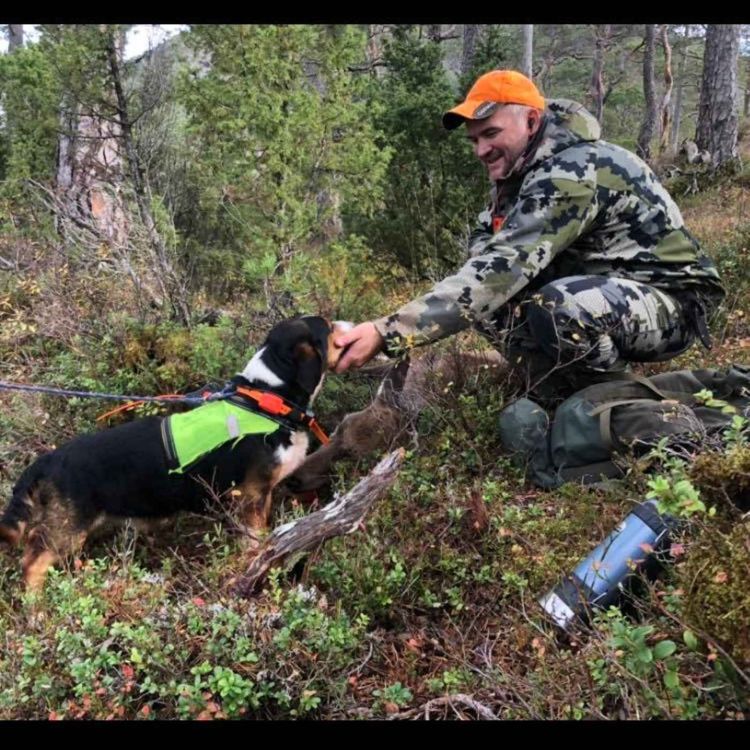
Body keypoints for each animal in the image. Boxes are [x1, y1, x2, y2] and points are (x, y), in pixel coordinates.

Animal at [0, 314, 352, 592]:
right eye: (329, 326)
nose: (350, 325)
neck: (267, 399)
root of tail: (47, 461)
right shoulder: (252, 495)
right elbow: (256, 540)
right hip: (67, 529)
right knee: (32, 564)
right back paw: (37, 609)